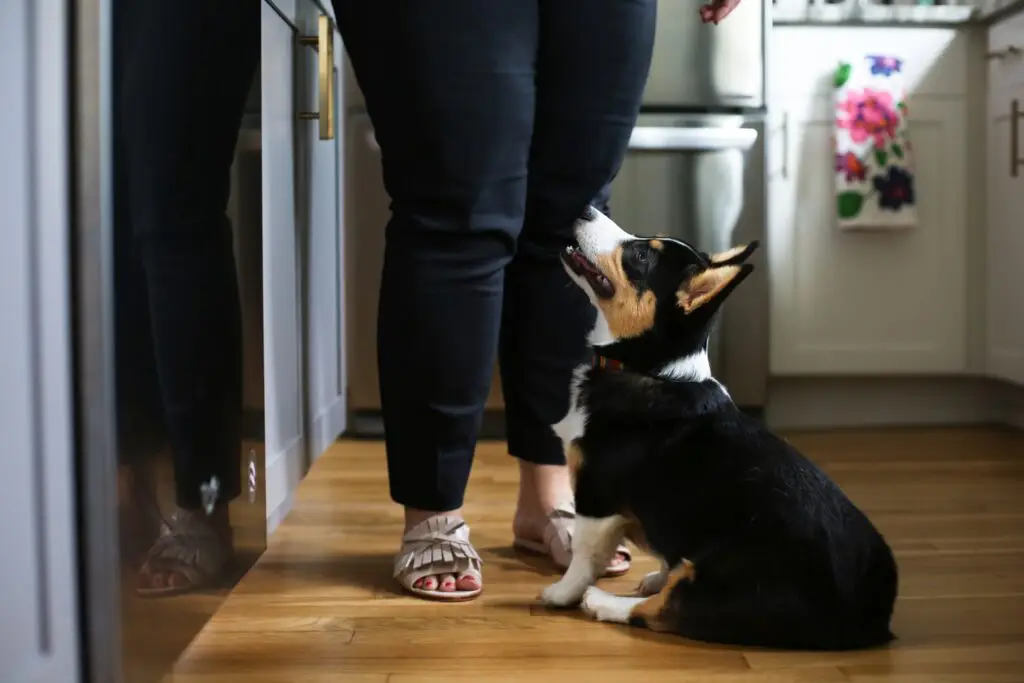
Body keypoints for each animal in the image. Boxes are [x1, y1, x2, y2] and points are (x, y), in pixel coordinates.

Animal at [536, 206, 897, 651]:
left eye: (641, 256)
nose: (585, 208)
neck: (650, 368)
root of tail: (870, 622)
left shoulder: (596, 496)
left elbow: (585, 555)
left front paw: (561, 593)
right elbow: (662, 549)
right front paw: (657, 572)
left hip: (731, 571)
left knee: (661, 611)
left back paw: (603, 601)